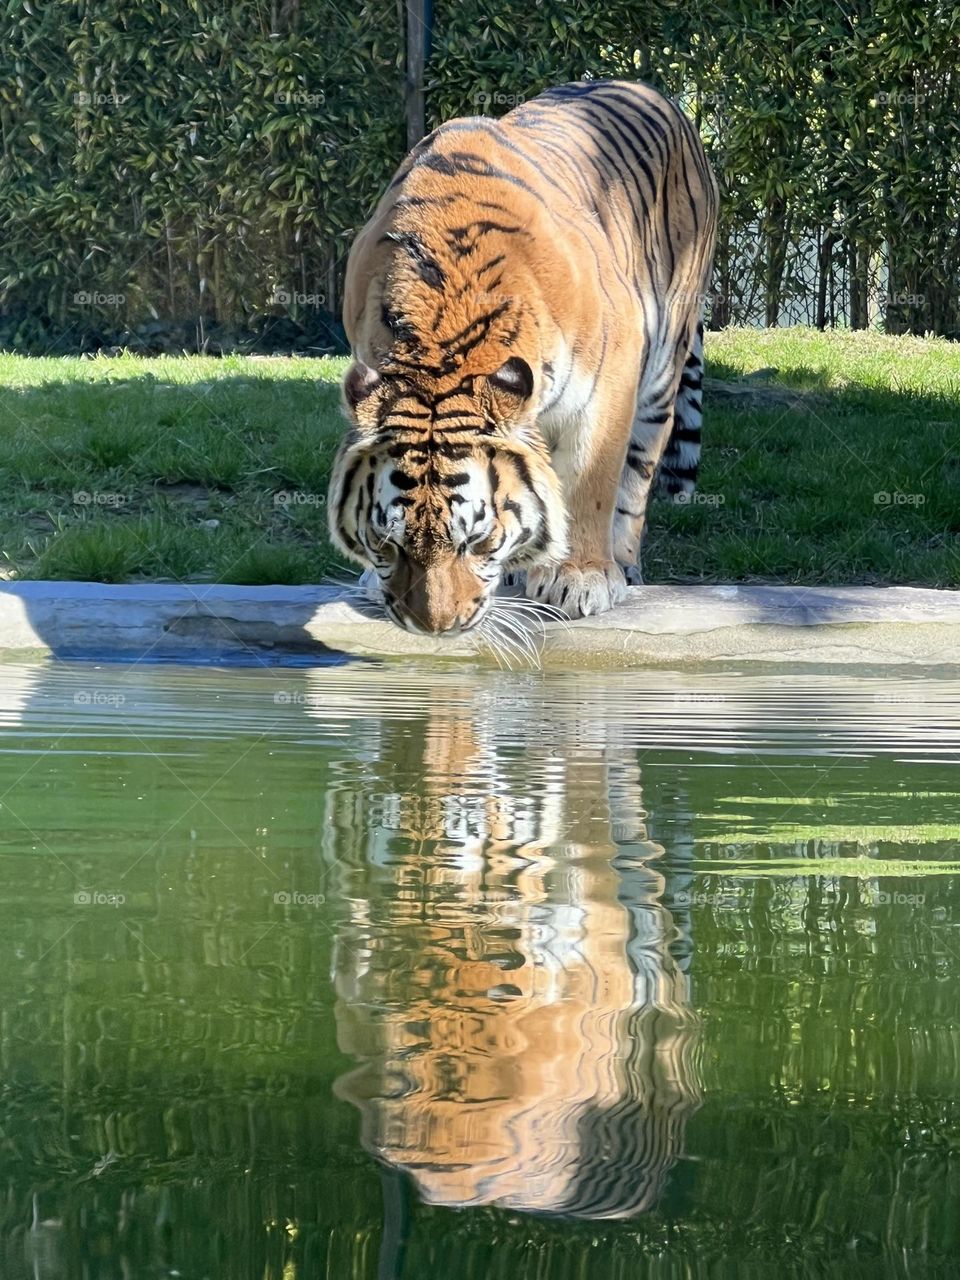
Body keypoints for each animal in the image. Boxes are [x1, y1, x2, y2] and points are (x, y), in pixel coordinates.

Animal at [327, 78, 718, 634]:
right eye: (389, 541)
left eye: (476, 540)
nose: (434, 626)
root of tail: (649, 89)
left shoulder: (611, 380)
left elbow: (592, 482)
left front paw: (580, 577)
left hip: (663, 364)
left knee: (636, 478)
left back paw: (621, 564)